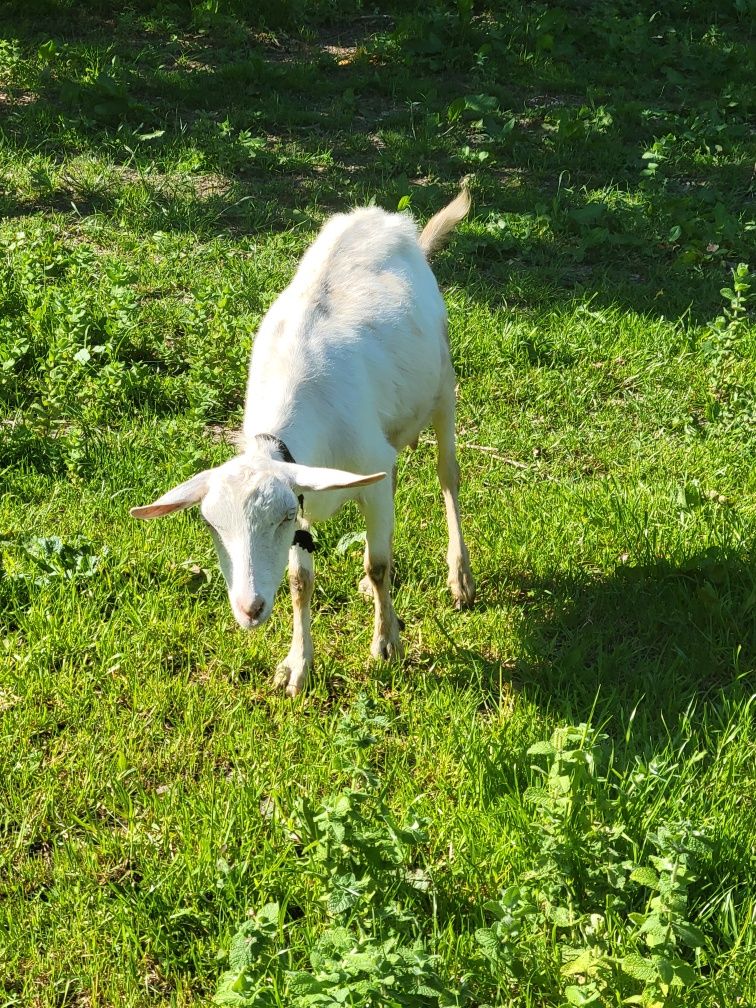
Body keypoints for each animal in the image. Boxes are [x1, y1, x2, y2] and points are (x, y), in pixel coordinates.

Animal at [130, 187, 473, 693]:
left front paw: (386, 644)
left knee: (447, 477)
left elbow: (378, 563)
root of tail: (385, 218)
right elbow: (299, 584)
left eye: (281, 517)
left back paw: (460, 578)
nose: (249, 609)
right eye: (210, 524)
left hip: (443, 389)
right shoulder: (309, 483)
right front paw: (297, 665)